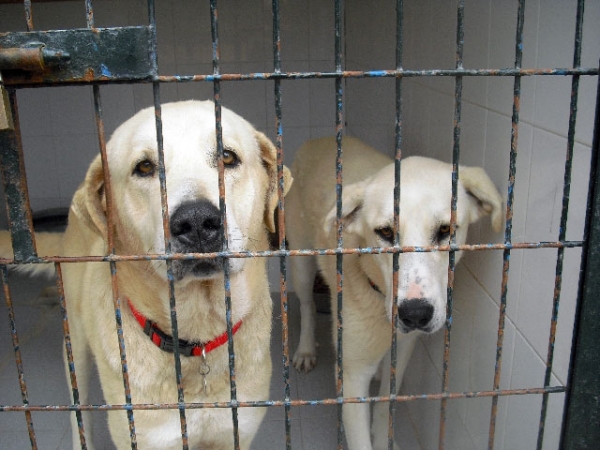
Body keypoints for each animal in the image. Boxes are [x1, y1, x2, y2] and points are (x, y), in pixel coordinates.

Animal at [0, 102, 290, 450]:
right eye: (145, 167)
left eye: (228, 157)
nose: (196, 222)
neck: (197, 336)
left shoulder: (236, 432)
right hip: (75, 347)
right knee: (78, 411)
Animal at [286, 137, 502, 450]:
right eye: (385, 232)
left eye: (446, 229)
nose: (415, 314)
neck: (378, 294)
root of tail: (318, 139)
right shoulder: (353, 377)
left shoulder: (402, 354)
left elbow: (384, 406)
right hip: (300, 263)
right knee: (306, 306)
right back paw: (305, 349)